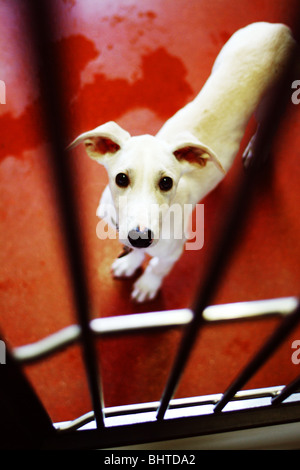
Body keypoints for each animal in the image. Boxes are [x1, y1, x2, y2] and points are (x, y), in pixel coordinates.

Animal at [68, 22, 296, 302]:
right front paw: (130, 262)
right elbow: (138, 252)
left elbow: (157, 266)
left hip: (272, 100)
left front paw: (148, 285)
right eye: (121, 178)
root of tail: (278, 28)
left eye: (167, 182)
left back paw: (257, 149)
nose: (140, 237)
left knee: (267, 126)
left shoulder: (173, 251)